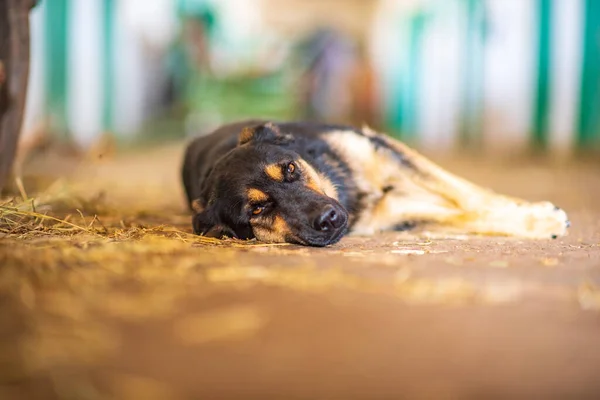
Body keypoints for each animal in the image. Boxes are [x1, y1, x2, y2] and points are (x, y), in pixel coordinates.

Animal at [180, 121, 568, 247]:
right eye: (258, 208)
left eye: (290, 169)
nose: (330, 219)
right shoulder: (395, 209)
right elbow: (464, 212)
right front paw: (537, 221)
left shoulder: (384, 151)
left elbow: (467, 195)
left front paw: (535, 217)